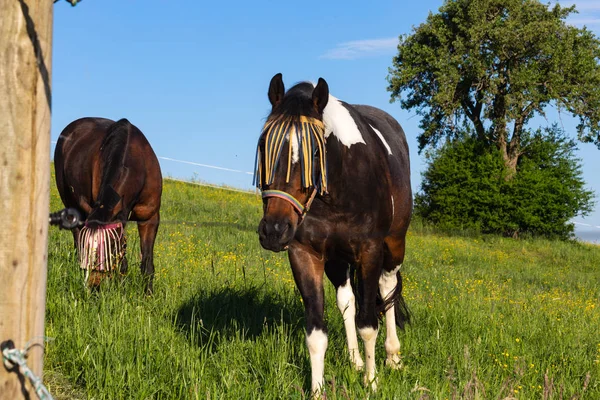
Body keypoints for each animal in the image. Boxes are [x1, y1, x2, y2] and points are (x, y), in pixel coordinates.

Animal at [53, 117, 161, 292]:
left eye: (109, 245)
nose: (93, 286)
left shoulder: (149, 218)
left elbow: (147, 263)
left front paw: (148, 294)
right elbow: (123, 264)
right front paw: (121, 291)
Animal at [253, 73, 412, 396]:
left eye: (315, 152)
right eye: (264, 145)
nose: (274, 230)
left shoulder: (369, 251)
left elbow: (368, 324)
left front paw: (372, 383)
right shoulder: (305, 254)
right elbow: (317, 332)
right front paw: (317, 390)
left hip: (394, 245)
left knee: (388, 289)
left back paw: (392, 356)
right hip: (337, 260)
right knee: (347, 301)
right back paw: (355, 361)